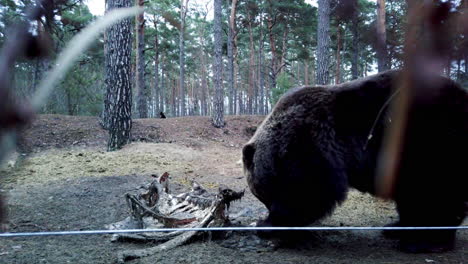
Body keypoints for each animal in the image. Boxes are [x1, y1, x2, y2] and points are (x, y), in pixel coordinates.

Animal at [243, 69, 466, 253]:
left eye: (262, 194)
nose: (266, 207)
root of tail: (463, 94)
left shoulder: (309, 145)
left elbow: (307, 190)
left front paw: (268, 225)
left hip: (427, 137)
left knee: (433, 191)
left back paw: (425, 241)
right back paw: (396, 228)